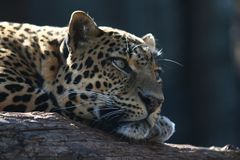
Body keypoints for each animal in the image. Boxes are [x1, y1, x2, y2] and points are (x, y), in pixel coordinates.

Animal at [0, 10, 174, 142]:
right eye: (120, 63)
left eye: (157, 73)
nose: (155, 102)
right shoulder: (12, 90)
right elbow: (66, 108)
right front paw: (161, 125)